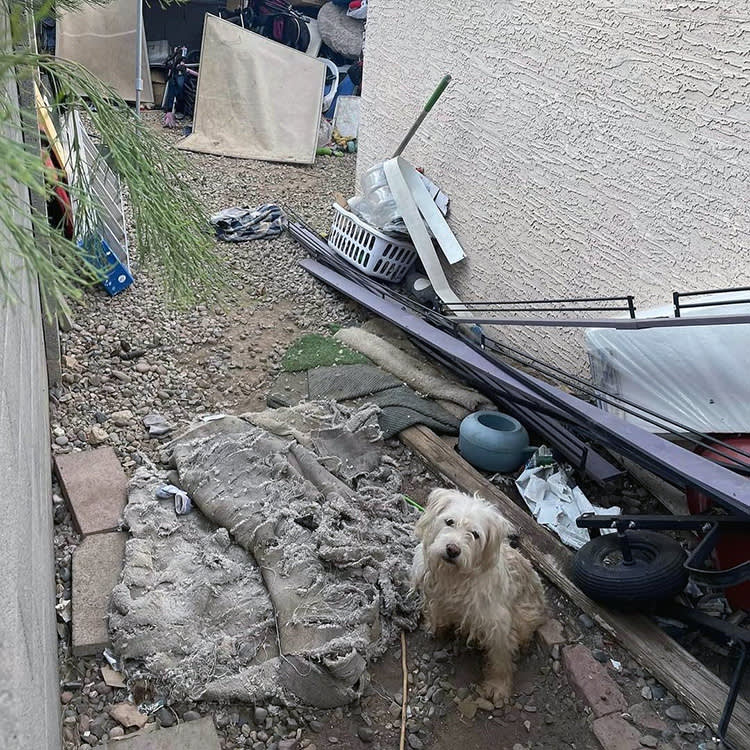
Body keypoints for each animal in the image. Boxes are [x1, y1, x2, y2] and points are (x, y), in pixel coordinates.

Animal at [412, 488, 548, 704]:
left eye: (475, 535)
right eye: (449, 521)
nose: (452, 549)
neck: (455, 577)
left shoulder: (498, 624)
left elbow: (501, 658)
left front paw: (498, 686)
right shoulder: (437, 596)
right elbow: (437, 613)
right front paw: (435, 626)